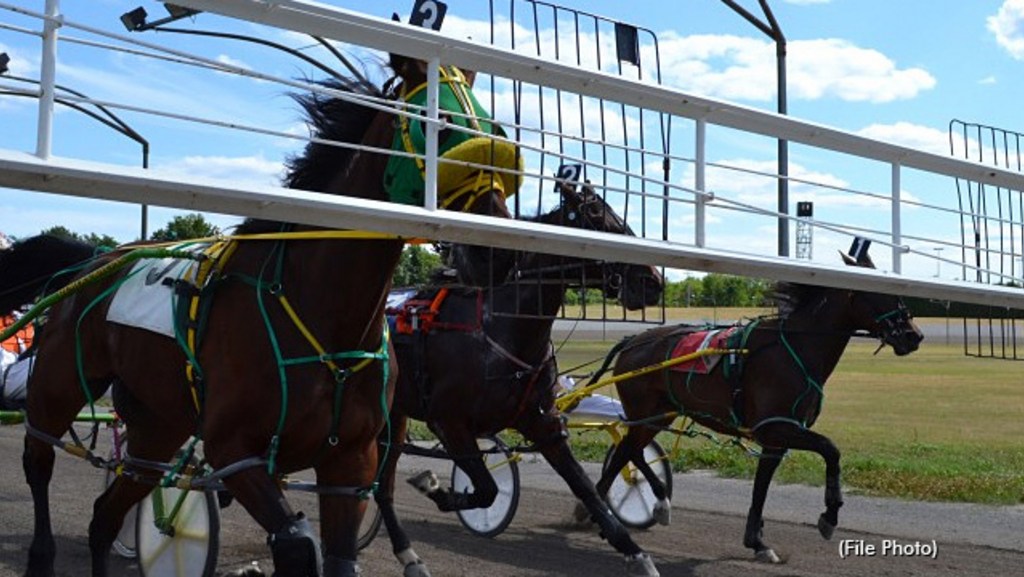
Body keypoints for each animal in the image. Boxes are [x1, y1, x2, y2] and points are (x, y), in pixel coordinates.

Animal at [0, 50, 512, 577]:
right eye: (439, 126)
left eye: (496, 128)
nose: (495, 252)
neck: (323, 314)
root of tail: (96, 258)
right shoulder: (235, 450)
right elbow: (298, 544)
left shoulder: (350, 462)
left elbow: (340, 556)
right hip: (59, 384)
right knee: (38, 458)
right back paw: (41, 553)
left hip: (157, 427)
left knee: (105, 515)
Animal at [372, 182, 667, 577]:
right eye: (595, 217)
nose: (652, 281)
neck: (501, 327)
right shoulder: (448, 421)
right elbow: (486, 490)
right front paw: (434, 488)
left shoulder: (543, 423)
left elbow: (586, 489)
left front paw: (636, 554)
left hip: (395, 417)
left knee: (382, 488)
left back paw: (409, 555)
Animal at [589, 243, 925, 565]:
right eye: (881, 291)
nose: (914, 335)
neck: (795, 349)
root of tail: (632, 341)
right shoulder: (776, 427)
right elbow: (831, 449)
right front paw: (829, 516)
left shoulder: (777, 436)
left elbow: (761, 488)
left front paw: (758, 542)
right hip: (645, 412)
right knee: (627, 451)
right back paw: (613, 507)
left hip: (659, 414)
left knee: (629, 450)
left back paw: (635, 504)